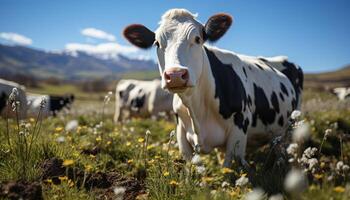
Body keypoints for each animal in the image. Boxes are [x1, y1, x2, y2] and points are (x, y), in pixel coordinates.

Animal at [123, 8, 304, 167]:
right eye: (157, 43)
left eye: (197, 39)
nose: (175, 75)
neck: (197, 107)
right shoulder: (181, 133)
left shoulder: (238, 130)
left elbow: (228, 168)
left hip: (290, 126)